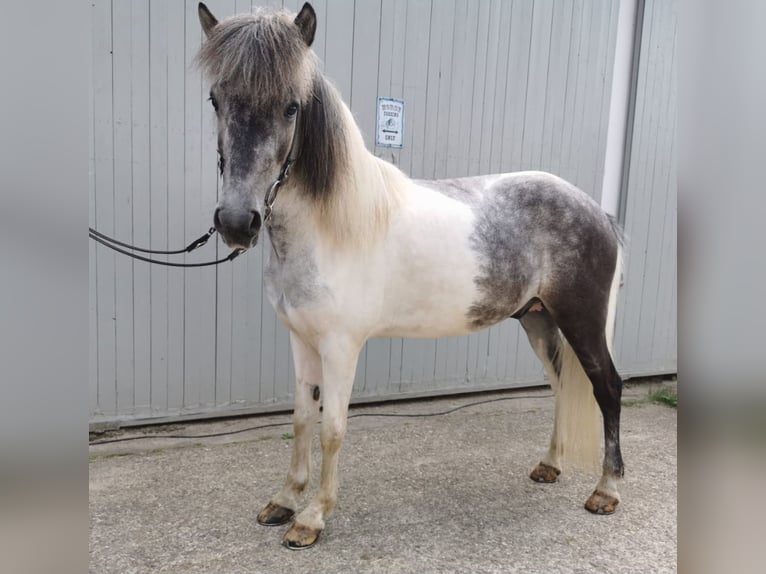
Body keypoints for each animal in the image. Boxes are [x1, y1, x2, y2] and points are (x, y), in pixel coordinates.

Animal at [195, 2, 628, 552]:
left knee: (607, 388)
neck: (331, 227)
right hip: (539, 320)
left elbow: (332, 428)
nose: (236, 222)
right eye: (216, 99)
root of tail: (598, 211)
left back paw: (606, 491)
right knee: (561, 385)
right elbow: (300, 419)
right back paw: (549, 466)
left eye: (292, 107)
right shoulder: (302, 340)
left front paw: (312, 517)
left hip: (582, 322)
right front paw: (284, 500)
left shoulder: (340, 346)